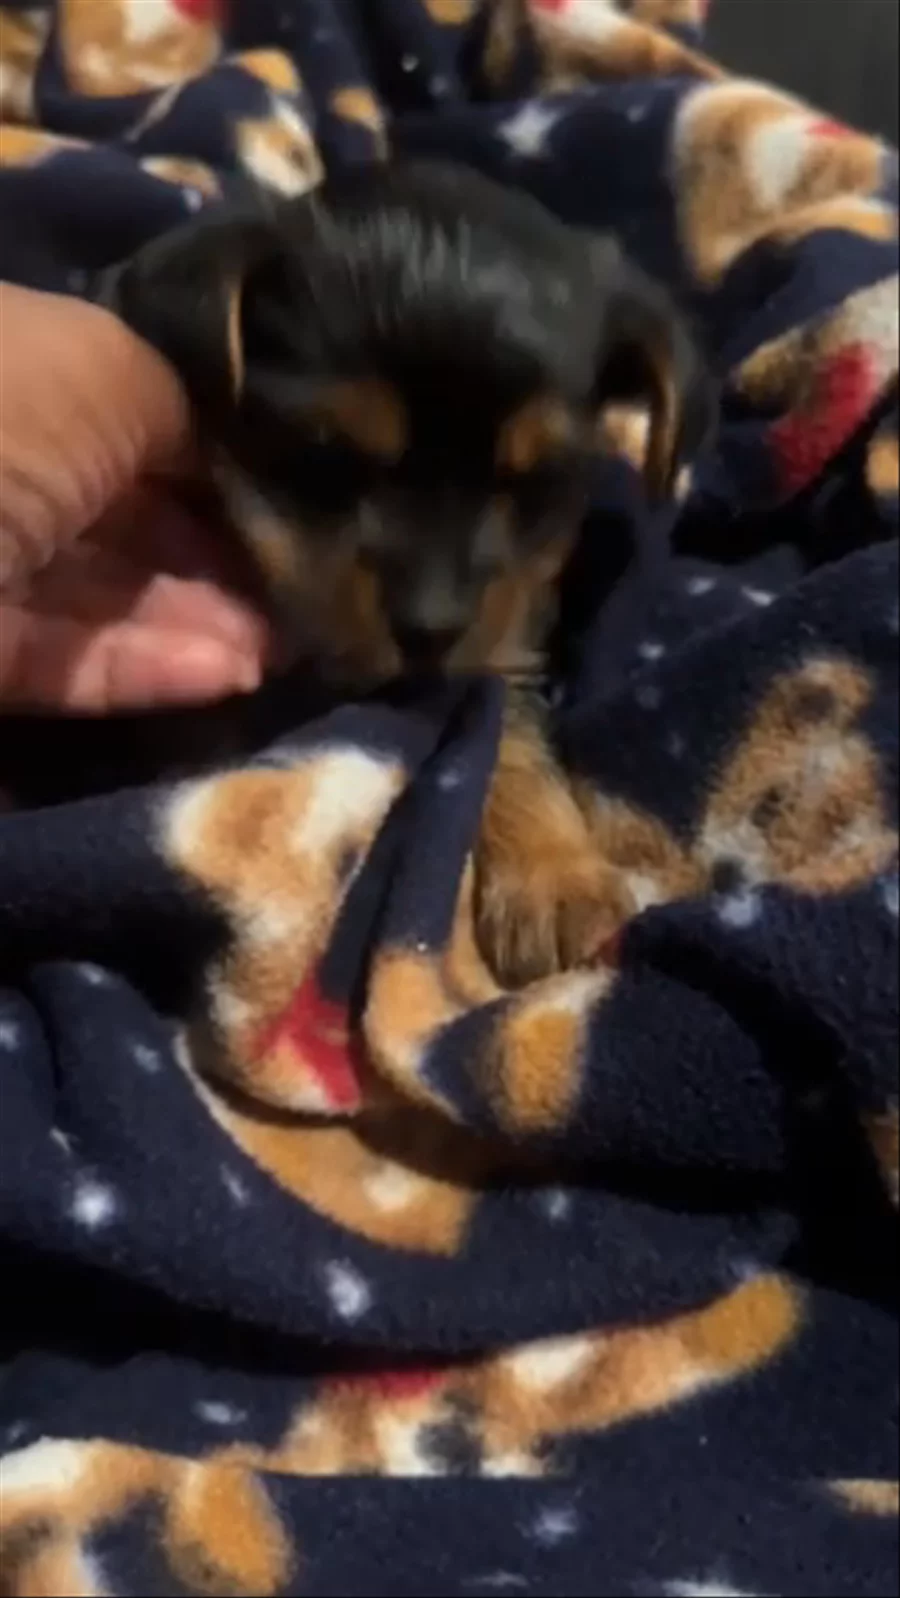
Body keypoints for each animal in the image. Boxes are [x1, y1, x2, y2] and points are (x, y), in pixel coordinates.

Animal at [101, 161, 714, 985]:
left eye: (535, 481)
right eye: (323, 460)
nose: (430, 628)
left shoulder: (501, 640)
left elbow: (505, 732)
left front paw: (557, 876)